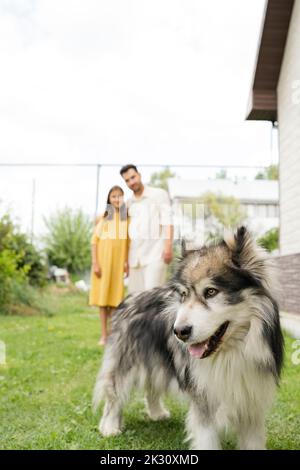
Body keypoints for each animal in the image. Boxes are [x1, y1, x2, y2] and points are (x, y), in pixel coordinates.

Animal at [93, 226, 284, 450]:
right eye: (183, 295)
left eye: (211, 291)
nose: (179, 332)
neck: (231, 352)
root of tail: (132, 298)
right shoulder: (204, 400)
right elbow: (207, 439)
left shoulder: (251, 401)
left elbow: (253, 440)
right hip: (126, 362)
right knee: (114, 394)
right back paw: (109, 426)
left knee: (152, 386)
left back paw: (156, 413)